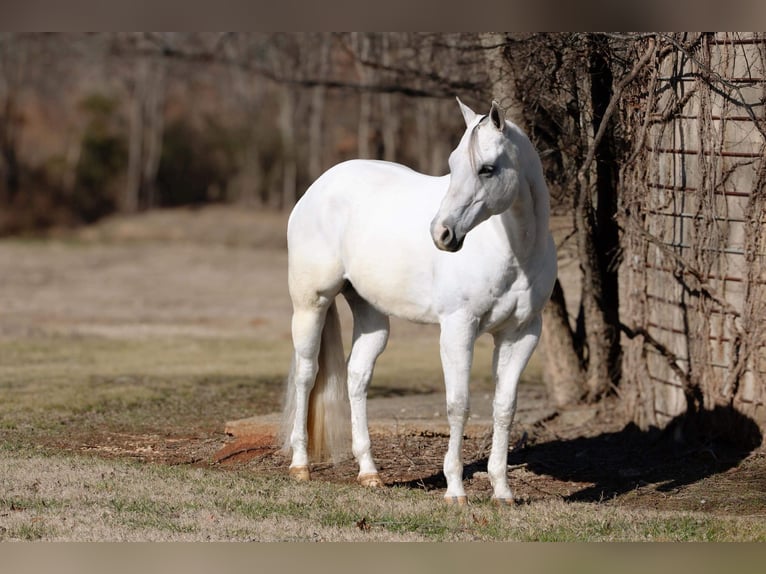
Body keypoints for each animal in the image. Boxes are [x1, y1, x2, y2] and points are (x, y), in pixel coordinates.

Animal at [282, 98, 560, 504]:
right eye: (452, 164)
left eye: (487, 168)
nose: (442, 233)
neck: (512, 249)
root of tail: (317, 187)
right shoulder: (459, 328)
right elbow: (458, 405)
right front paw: (456, 490)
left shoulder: (522, 333)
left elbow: (504, 408)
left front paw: (502, 490)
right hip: (311, 304)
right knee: (306, 374)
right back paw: (300, 465)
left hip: (372, 316)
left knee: (357, 377)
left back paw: (369, 473)